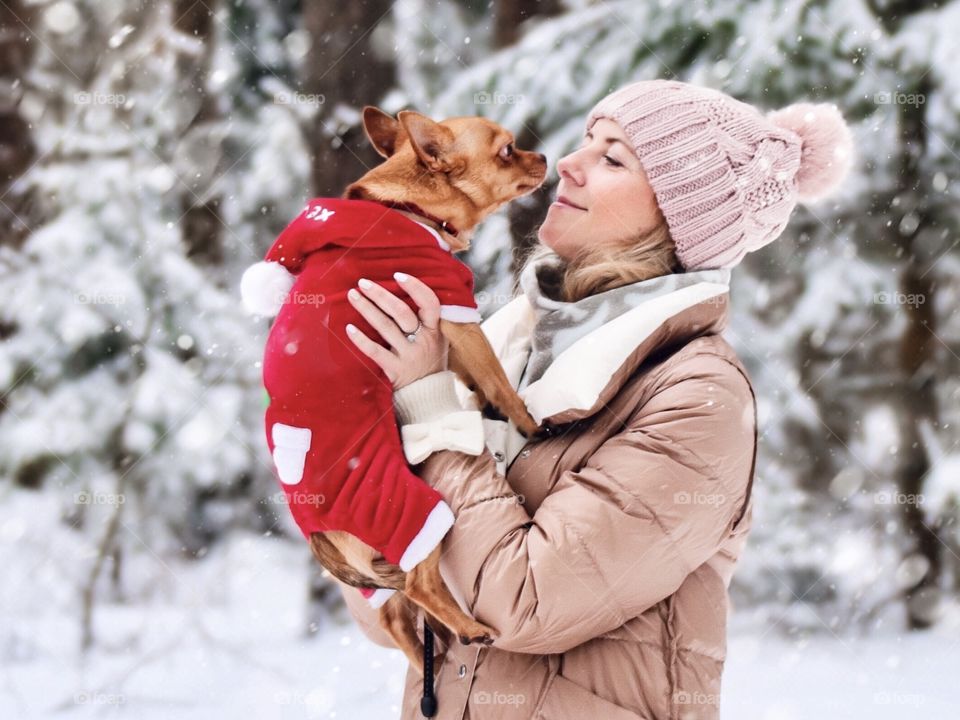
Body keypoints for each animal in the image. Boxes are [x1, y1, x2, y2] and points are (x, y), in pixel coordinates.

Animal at [308, 107, 548, 676]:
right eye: (507, 150)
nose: (544, 155)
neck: (410, 208)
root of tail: (316, 533)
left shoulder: (449, 331)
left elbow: (476, 377)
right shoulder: (455, 312)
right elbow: (498, 379)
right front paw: (527, 421)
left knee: (400, 617)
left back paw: (428, 661)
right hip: (413, 512)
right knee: (420, 586)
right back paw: (470, 630)